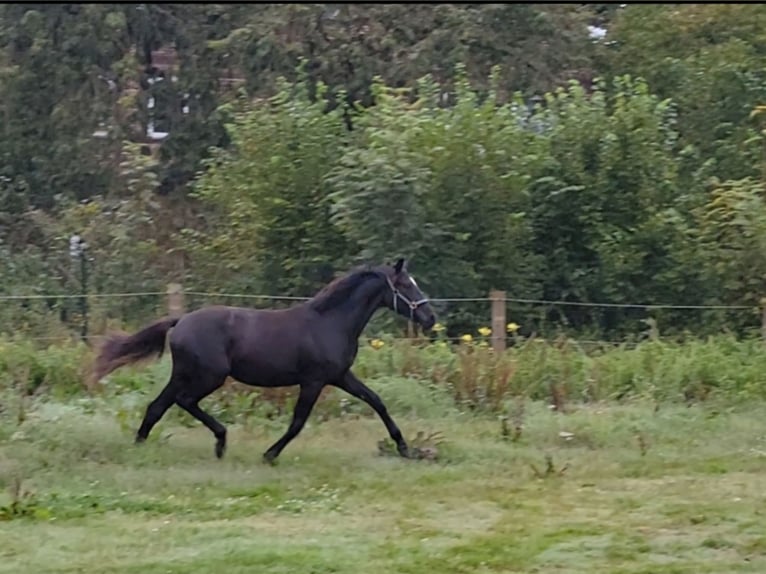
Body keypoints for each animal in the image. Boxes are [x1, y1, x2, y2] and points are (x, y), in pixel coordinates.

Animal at [93, 260, 436, 464]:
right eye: (405, 285)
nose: (431, 317)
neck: (329, 322)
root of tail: (180, 322)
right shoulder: (313, 381)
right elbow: (298, 422)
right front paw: (269, 454)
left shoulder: (340, 376)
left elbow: (377, 402)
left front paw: (405, 448)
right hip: (209, 376)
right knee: (183, 401)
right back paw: (220, 442)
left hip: (184, 374)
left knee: (158, 406)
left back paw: (140, 447)